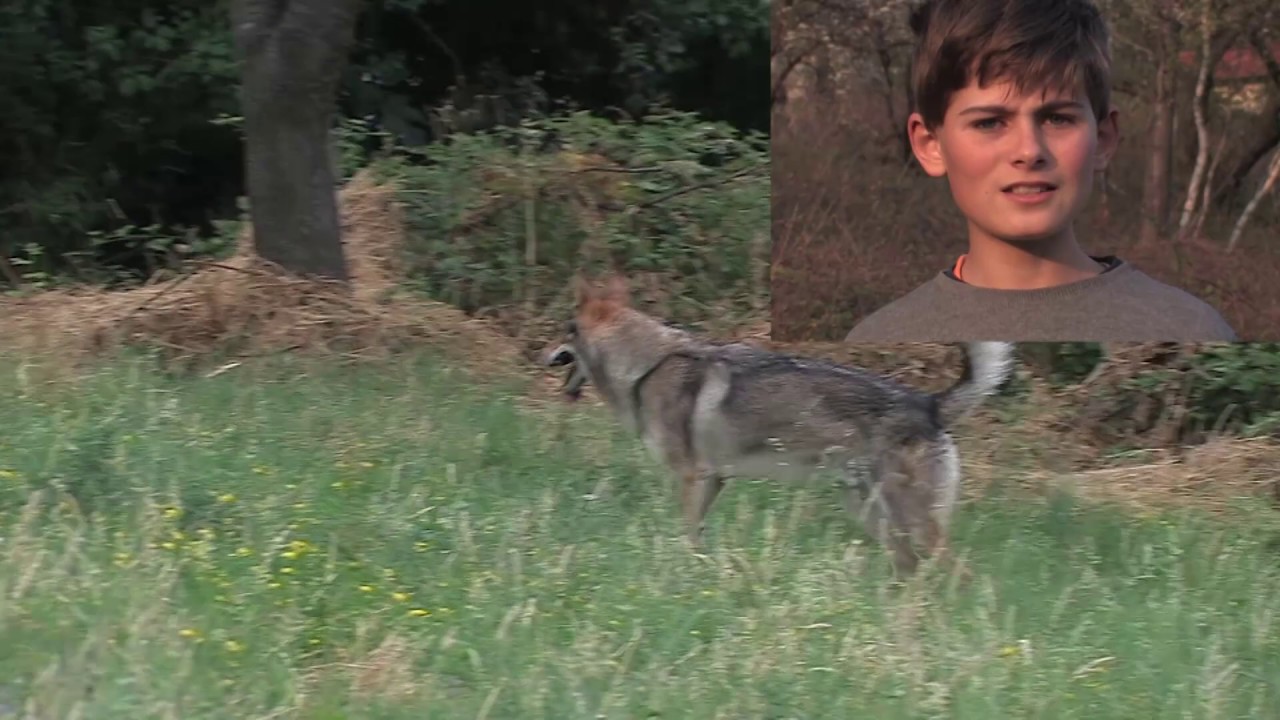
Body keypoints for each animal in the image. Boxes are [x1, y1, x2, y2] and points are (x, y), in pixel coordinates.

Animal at [545, 275, 1016, 575]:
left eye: (564, 331)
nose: (542, 356)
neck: (647, 366)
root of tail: (929, 404)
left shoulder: (690, 477)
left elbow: (685, 532)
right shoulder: (713, 480)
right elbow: (695, 538)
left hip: (910, 521)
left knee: (960, 573)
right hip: (874, 515)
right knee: (912, 568)